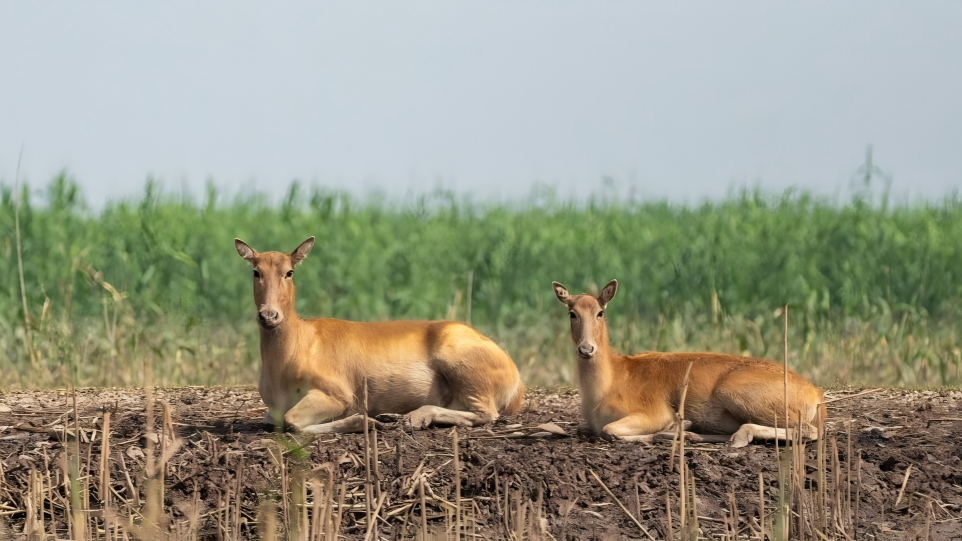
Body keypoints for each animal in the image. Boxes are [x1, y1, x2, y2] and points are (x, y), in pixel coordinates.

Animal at [234, 236, 524, 434]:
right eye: (256, 271)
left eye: (289, 271)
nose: (269, 316)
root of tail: (516, 379)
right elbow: (275, 420)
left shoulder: (339, 393)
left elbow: (292, 421)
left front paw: (368, 421)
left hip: (461, 365)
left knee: (487, 413)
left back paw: (412, 417)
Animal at [552, 279, 825, 447]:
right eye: (572, 313)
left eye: (601, 312)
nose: (586, 348)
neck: (613, 379)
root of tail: (815, 394)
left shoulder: (653, 412)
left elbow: (610, 430)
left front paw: (670, 427)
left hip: (736, 392)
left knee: (809, 431)